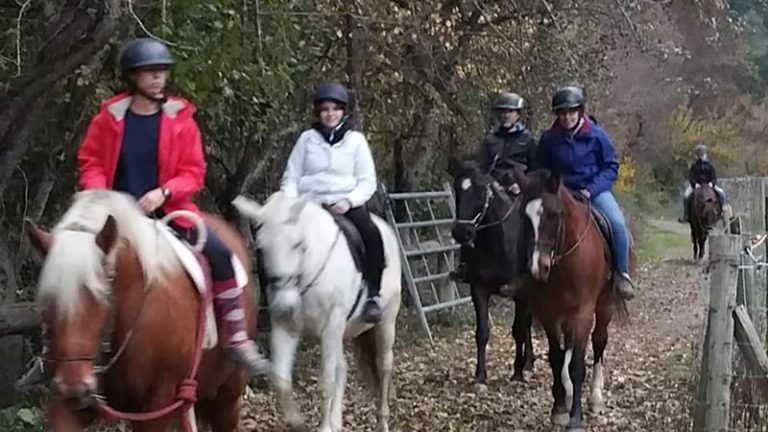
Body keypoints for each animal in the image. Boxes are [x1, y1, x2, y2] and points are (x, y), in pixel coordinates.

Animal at [28, 192, 256, 432]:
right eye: (49, 297)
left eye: (102, 293)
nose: (73, 387)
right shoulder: (65, 406)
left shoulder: (155, 406)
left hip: (228, 397)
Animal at [232, 192, 402, 432]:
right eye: (261, 248)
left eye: (298, 244)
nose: (285, 306)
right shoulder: (288, 327)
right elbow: (281, 377)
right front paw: (296, 420)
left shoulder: (331, 326)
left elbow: (326, 382)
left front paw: (323, 427)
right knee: (343, 368)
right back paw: (337, 423)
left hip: (385, 321)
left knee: (384, 365)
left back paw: (382, 420)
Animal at [450, 162, 536, 392]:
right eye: (457, 189)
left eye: (481, 191)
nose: (462, 232)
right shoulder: (479, 289)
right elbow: (482, 333)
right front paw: (480, 377)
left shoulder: (522, 293)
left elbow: (518, 330)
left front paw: (517, 374)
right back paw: (529, 364)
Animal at [510, 167, 632, 430]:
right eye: (525, 216)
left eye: (554, 214)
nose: (538, 267)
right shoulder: (549, 314)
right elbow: (557, 358)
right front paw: (559, 409)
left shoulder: (583, 313)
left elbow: (577, 363)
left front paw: (576, 416)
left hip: (604, 307)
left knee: (599, 342)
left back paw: (595, 397)